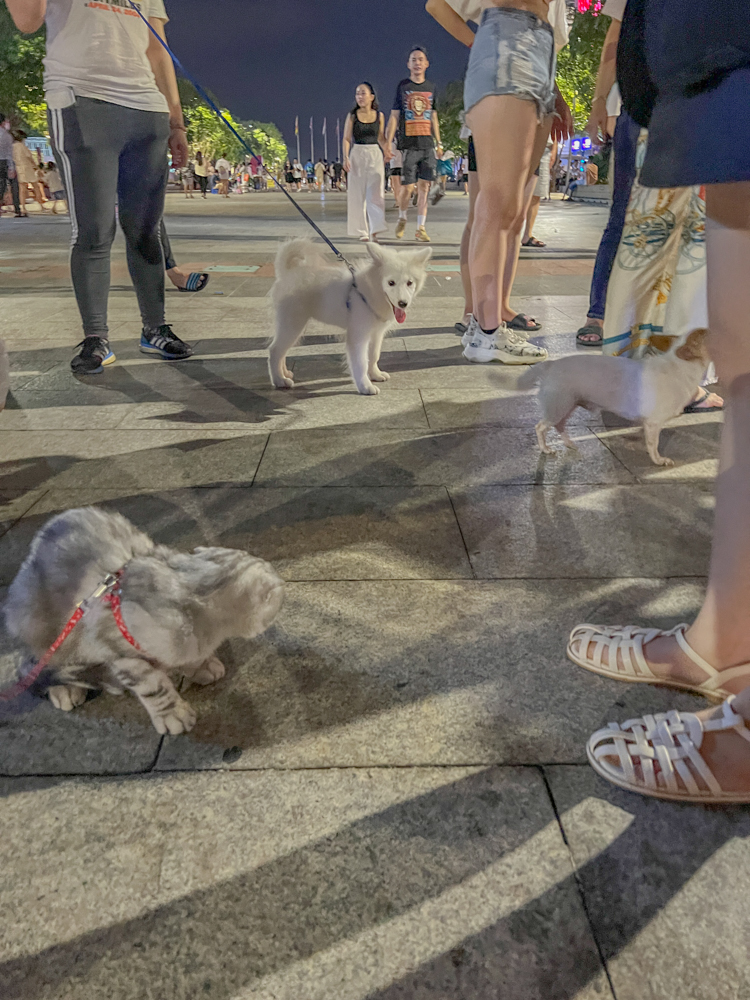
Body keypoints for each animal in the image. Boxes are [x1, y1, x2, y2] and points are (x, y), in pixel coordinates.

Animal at [4, 508, 286, 736]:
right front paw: (173, 714)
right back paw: (64, 689)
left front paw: (201, 666)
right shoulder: (116, 647)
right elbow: (154, 686)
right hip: (38, 624)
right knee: (31, 664)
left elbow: (192, 658)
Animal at [268, 240, 432, 396]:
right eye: (391, 283)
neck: (369, 291)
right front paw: (365, 386)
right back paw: (279, 380)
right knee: (275, 350)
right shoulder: (358, 335)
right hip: (293, 324)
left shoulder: (376, 333)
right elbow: (361, 363)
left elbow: (374, 356)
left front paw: (375, 375)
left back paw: (285, 373)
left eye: (409, 283)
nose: (403, 303)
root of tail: (286, 273)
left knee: (282, 352)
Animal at [520, 330, 712, 466]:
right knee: (540, 427)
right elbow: (653, 444)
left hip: (567, 406)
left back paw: (569, 444)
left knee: (559, 426)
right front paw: (658, 460)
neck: (680, 365)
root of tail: (551, 365)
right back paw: (545, 449)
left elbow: (648, 440)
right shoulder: (653, 422)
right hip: (559, 406)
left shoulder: (648, 424)